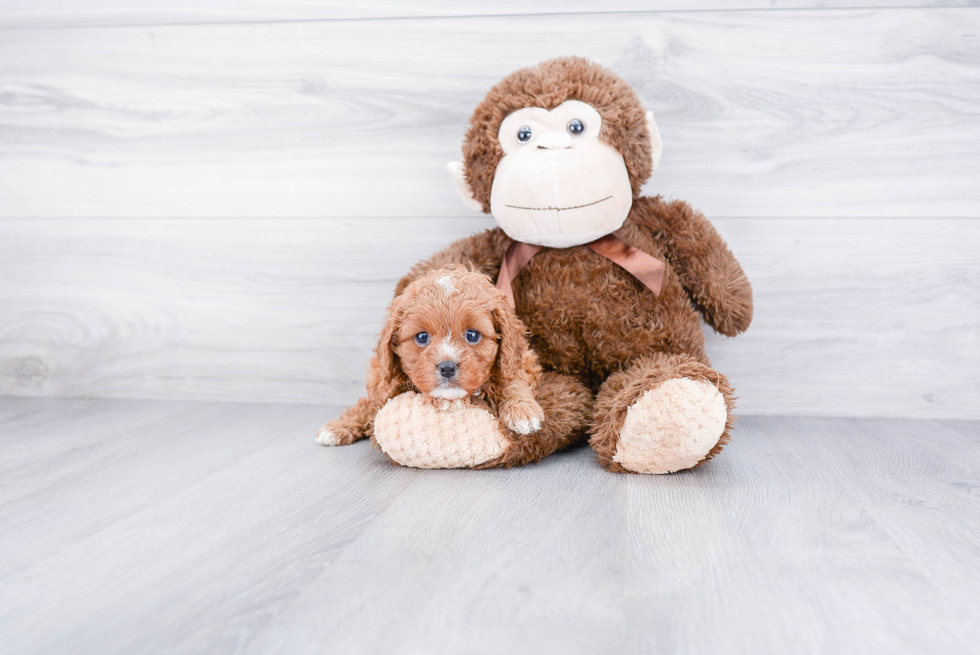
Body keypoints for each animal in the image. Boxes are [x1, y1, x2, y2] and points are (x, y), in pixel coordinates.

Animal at [318, 264, 544, 448]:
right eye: (422, 337)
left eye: (472, 335)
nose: (447, 367)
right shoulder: (386, 384)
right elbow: (371, 403)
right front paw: (339, 426)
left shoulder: (522, 360)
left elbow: (511, 380)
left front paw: (522, 411)